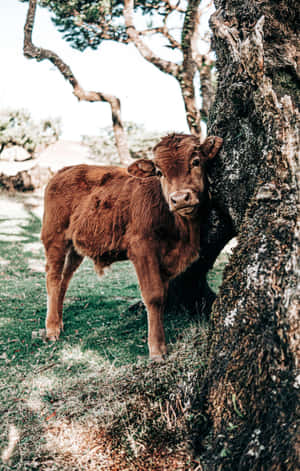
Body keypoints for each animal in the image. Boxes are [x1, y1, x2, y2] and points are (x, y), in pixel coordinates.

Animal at [41, 134, 221, 362]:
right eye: (159, 172)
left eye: (196, 161)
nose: (180, 198)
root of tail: (65, 170)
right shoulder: (142, 249)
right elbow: (154, 296)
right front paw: (157, 349)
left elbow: (163, 294)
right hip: (54, 238)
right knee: (53, 278)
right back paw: (52, 329)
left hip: (75, 249)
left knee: (64, 280)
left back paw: (59, 320)